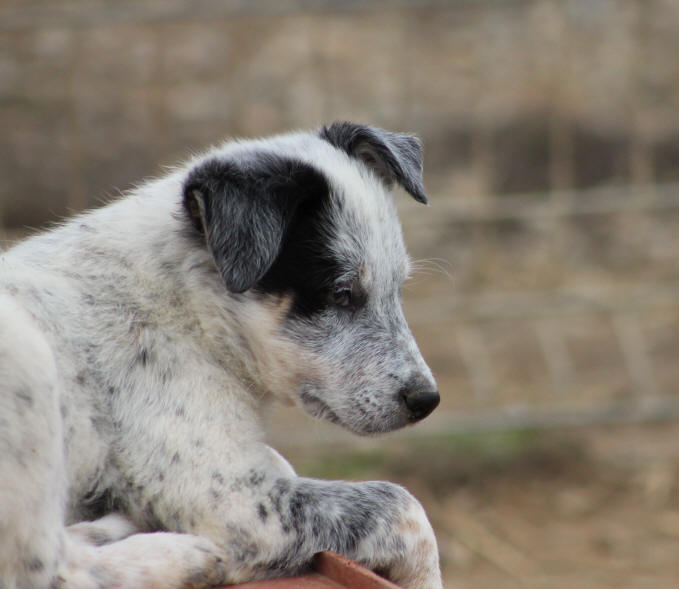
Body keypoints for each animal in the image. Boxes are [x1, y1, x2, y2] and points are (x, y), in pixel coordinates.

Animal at [0, 121, 444, 584]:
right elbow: (405, 508)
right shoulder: (232, 499)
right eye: (341, 294)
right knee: (47, 569)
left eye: (398, 287)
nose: (426, 400)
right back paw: (182, 557)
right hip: (25, 349)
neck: (190, 305)